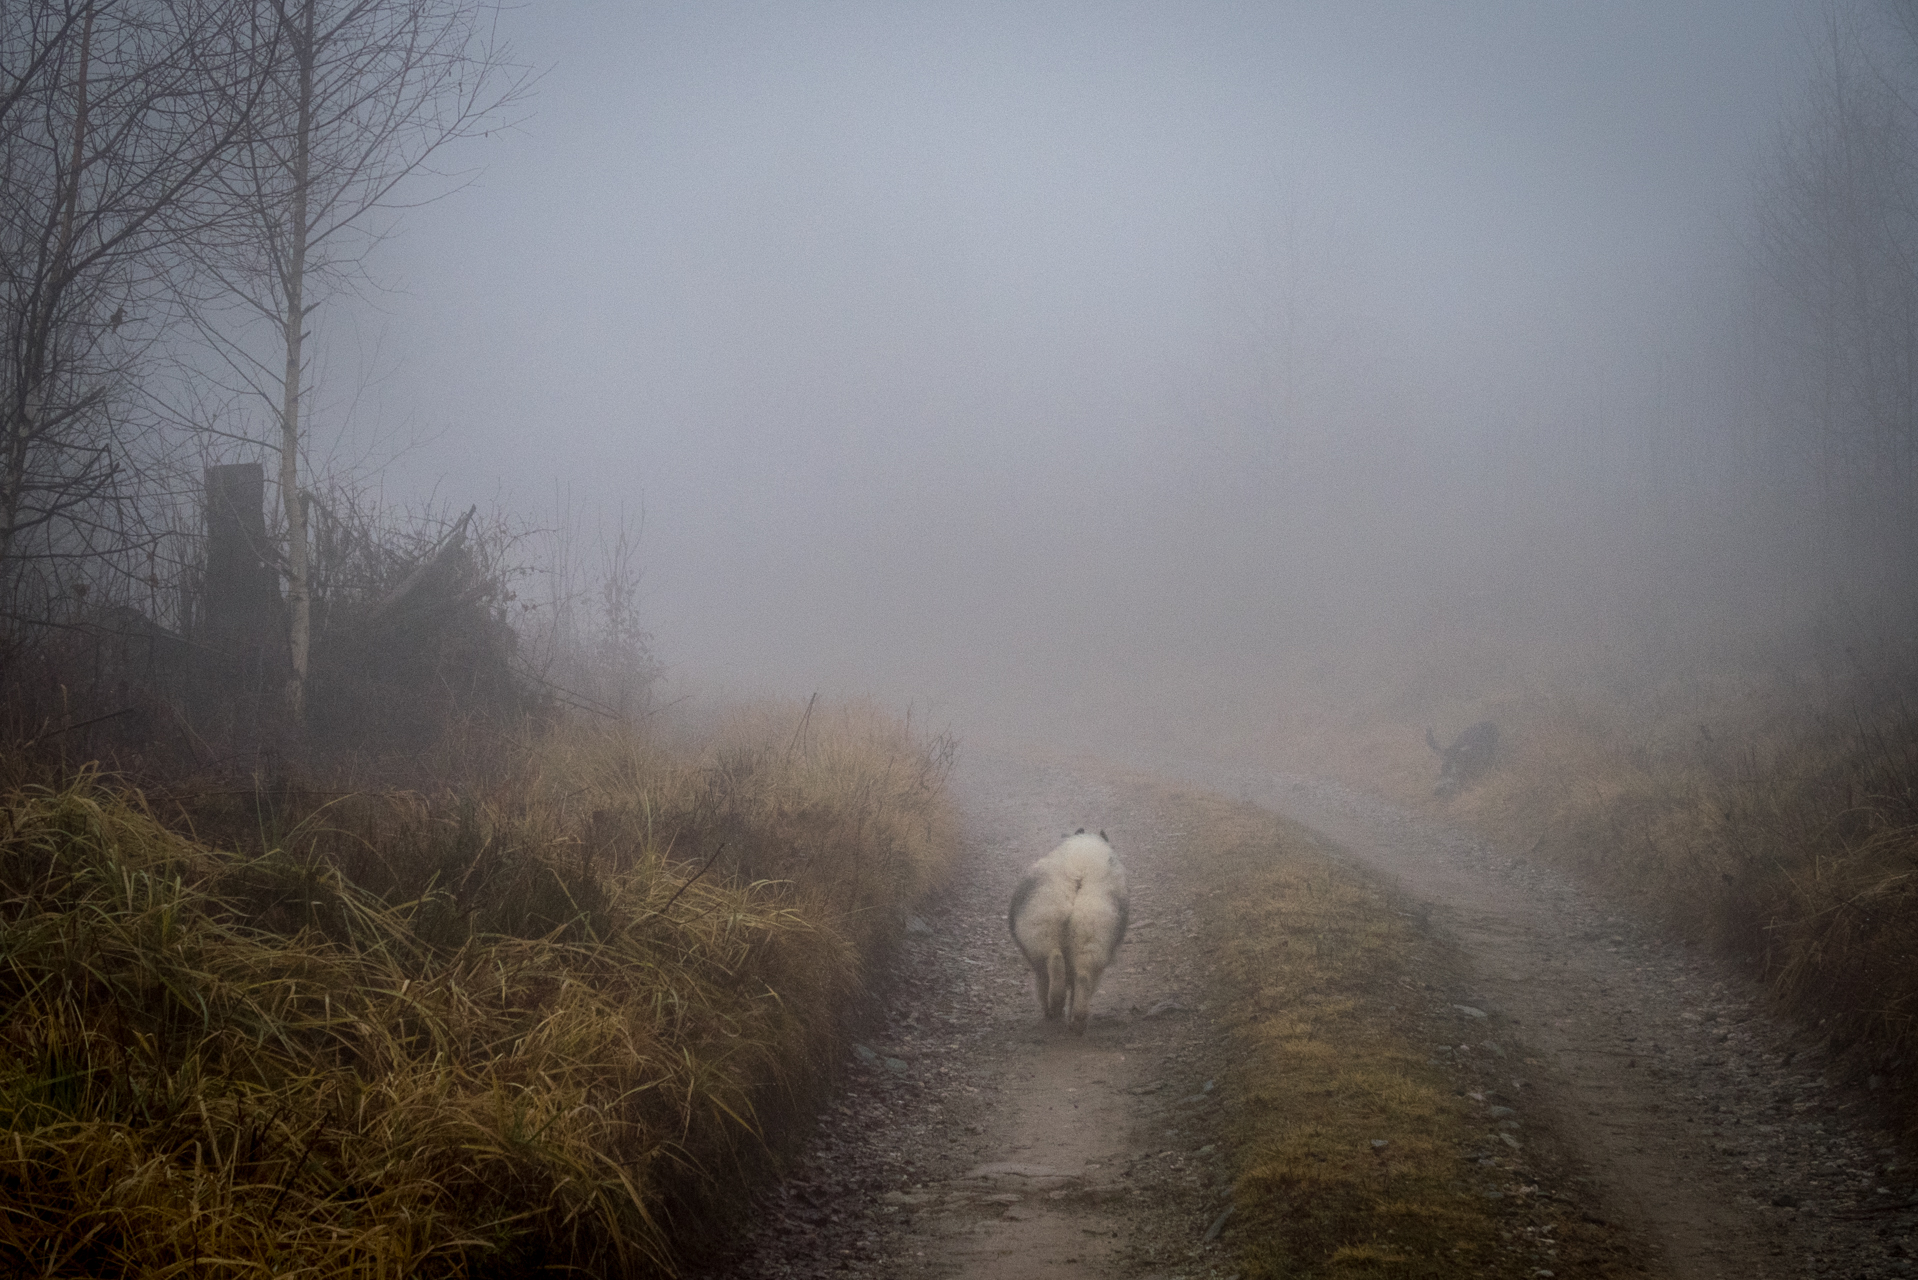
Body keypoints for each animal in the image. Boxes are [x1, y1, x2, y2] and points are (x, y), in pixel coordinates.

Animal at [1005, 832, 1120, 1028]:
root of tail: (1079, 874)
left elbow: (1041, 985)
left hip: (1043, 929)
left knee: (1053, 964)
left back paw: (1055, 1008)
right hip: (1092, 935)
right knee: (1083, 976)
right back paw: (1077, 1019)